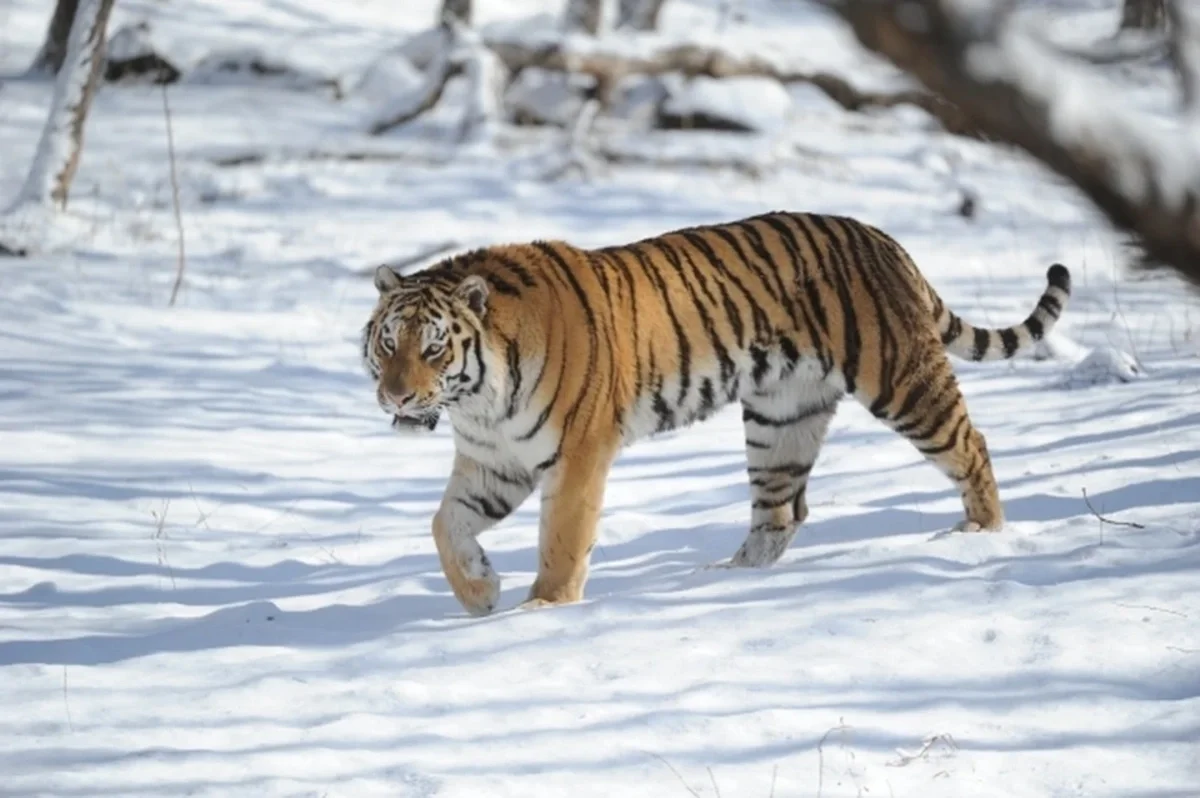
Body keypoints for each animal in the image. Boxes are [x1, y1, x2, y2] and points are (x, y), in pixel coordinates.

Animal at [360, 208, 1075, 612]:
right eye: (389, 343)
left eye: (433, 348)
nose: (396, 396)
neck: (479, 400)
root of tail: (883, 238)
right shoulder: (494, 461)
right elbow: (444, 525)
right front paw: (480, 593)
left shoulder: (578, 454)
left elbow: (561, 538)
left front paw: (544, 607)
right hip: (781, 418)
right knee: (782, 510)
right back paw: (728, 578)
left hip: (902, 380)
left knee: (971, 444)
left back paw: (981, 533)